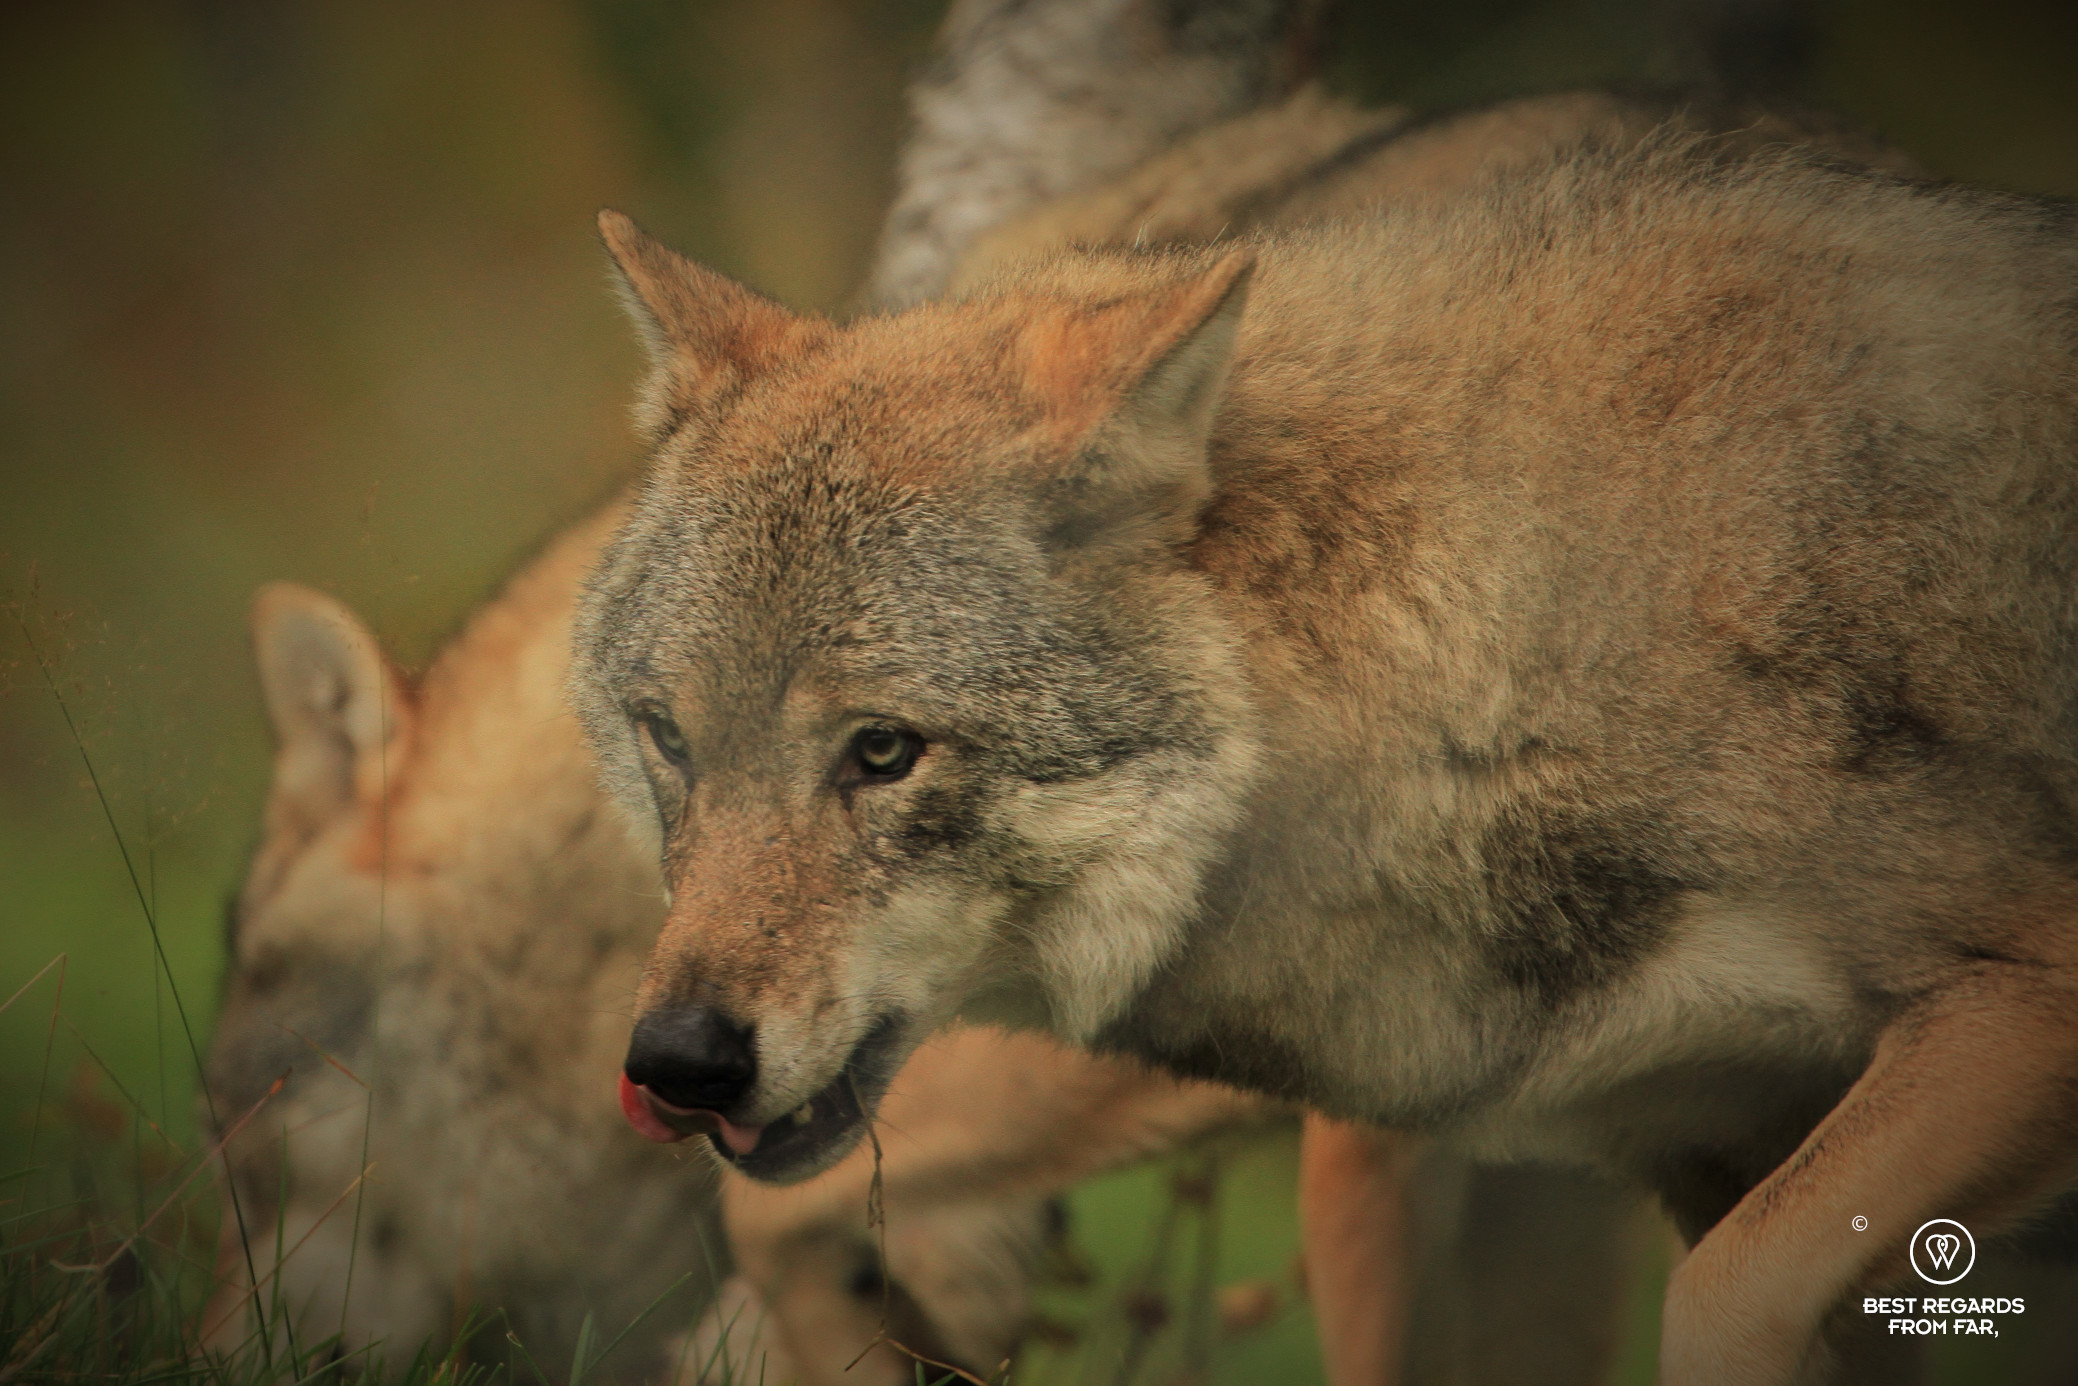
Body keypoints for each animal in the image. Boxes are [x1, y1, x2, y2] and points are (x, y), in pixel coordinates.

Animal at [575, 126, 2078, 1385]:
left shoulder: (2019, 1000)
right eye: (669, 738)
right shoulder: (1656, 1143)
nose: (677, 1064)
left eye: (883, 751)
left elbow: (1718, 1299)